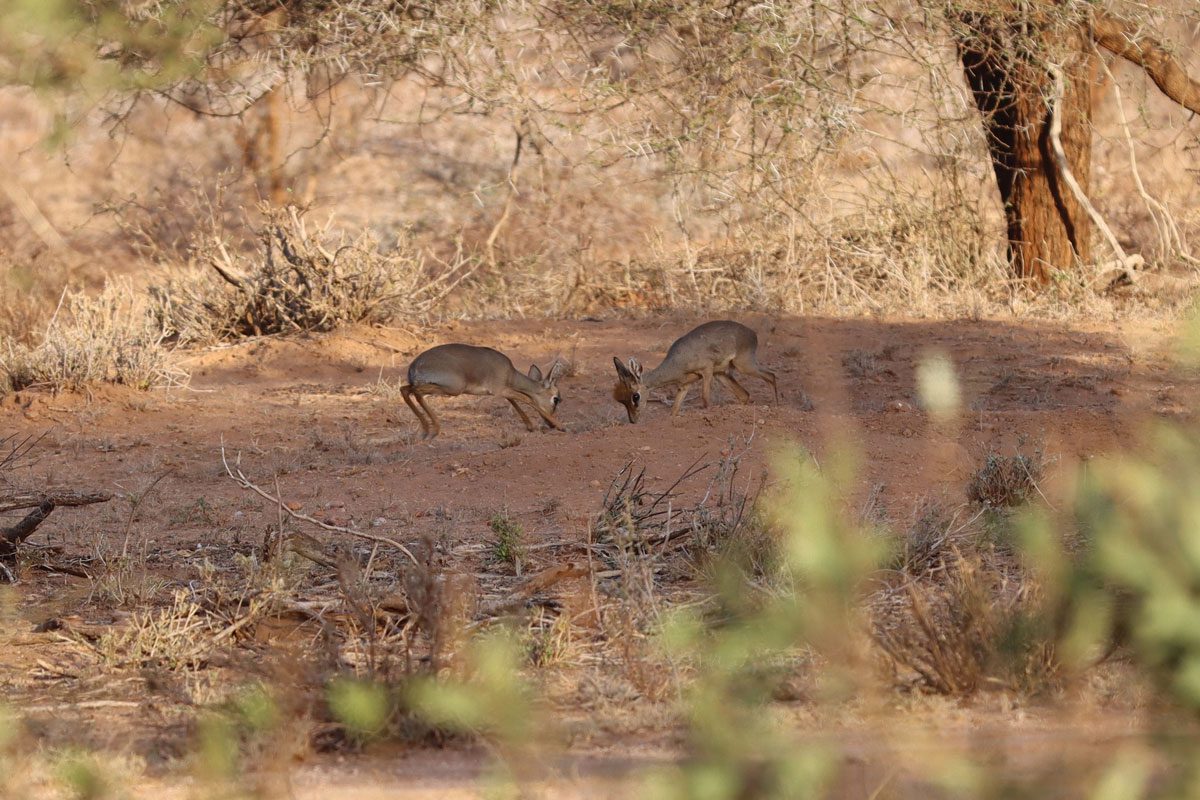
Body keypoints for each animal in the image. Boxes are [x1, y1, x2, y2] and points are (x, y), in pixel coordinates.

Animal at [400, 345, 564, 441]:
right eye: (555, 399)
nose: (549, 424)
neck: (510, 373)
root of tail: (414, 365)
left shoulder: (503, 391)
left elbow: (514, 401)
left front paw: (530, 426)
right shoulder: (501, 389)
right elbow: (526, 398)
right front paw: (561, 426)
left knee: (405, 390)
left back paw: (427, 431)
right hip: (453, 389)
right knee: (414, 392)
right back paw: (433, 430)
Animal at [609, 319, 777, 422]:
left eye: (635, 396)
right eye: (622, 400)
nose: (633, 420)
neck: (677, 362)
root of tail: (753, 334)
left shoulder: (707, 370)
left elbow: (705, 399)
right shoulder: (685, 385)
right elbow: (674, 410)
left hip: (743, 365)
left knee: (771, 375)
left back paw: (776, 405)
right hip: (723, 374)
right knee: (745, 395)